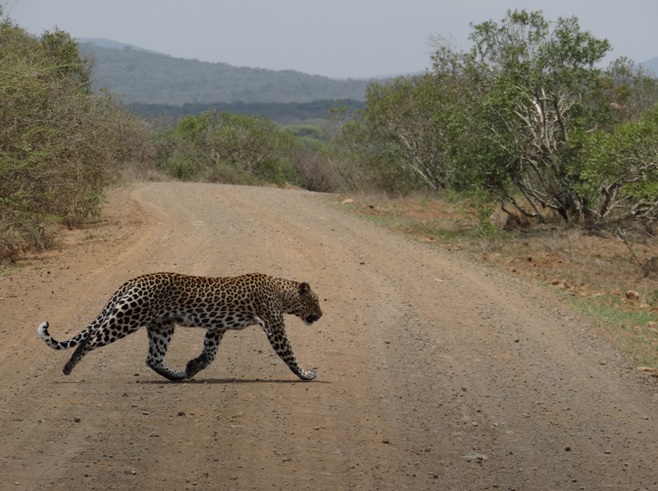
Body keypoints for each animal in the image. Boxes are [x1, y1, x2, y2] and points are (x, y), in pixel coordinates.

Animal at [37, 274, 322, 382]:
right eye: (316, 301)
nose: (320, 315)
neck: (283, 293)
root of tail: (134, 281)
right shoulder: (274, 327)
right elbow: (289, 354)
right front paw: (306, 374)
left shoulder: (216, 328)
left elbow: (209, 354)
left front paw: (192, 367)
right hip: (128, 318)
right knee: (90, 340)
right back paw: (68, 367)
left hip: (161, 326)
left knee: (152, 358)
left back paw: (176, 375)